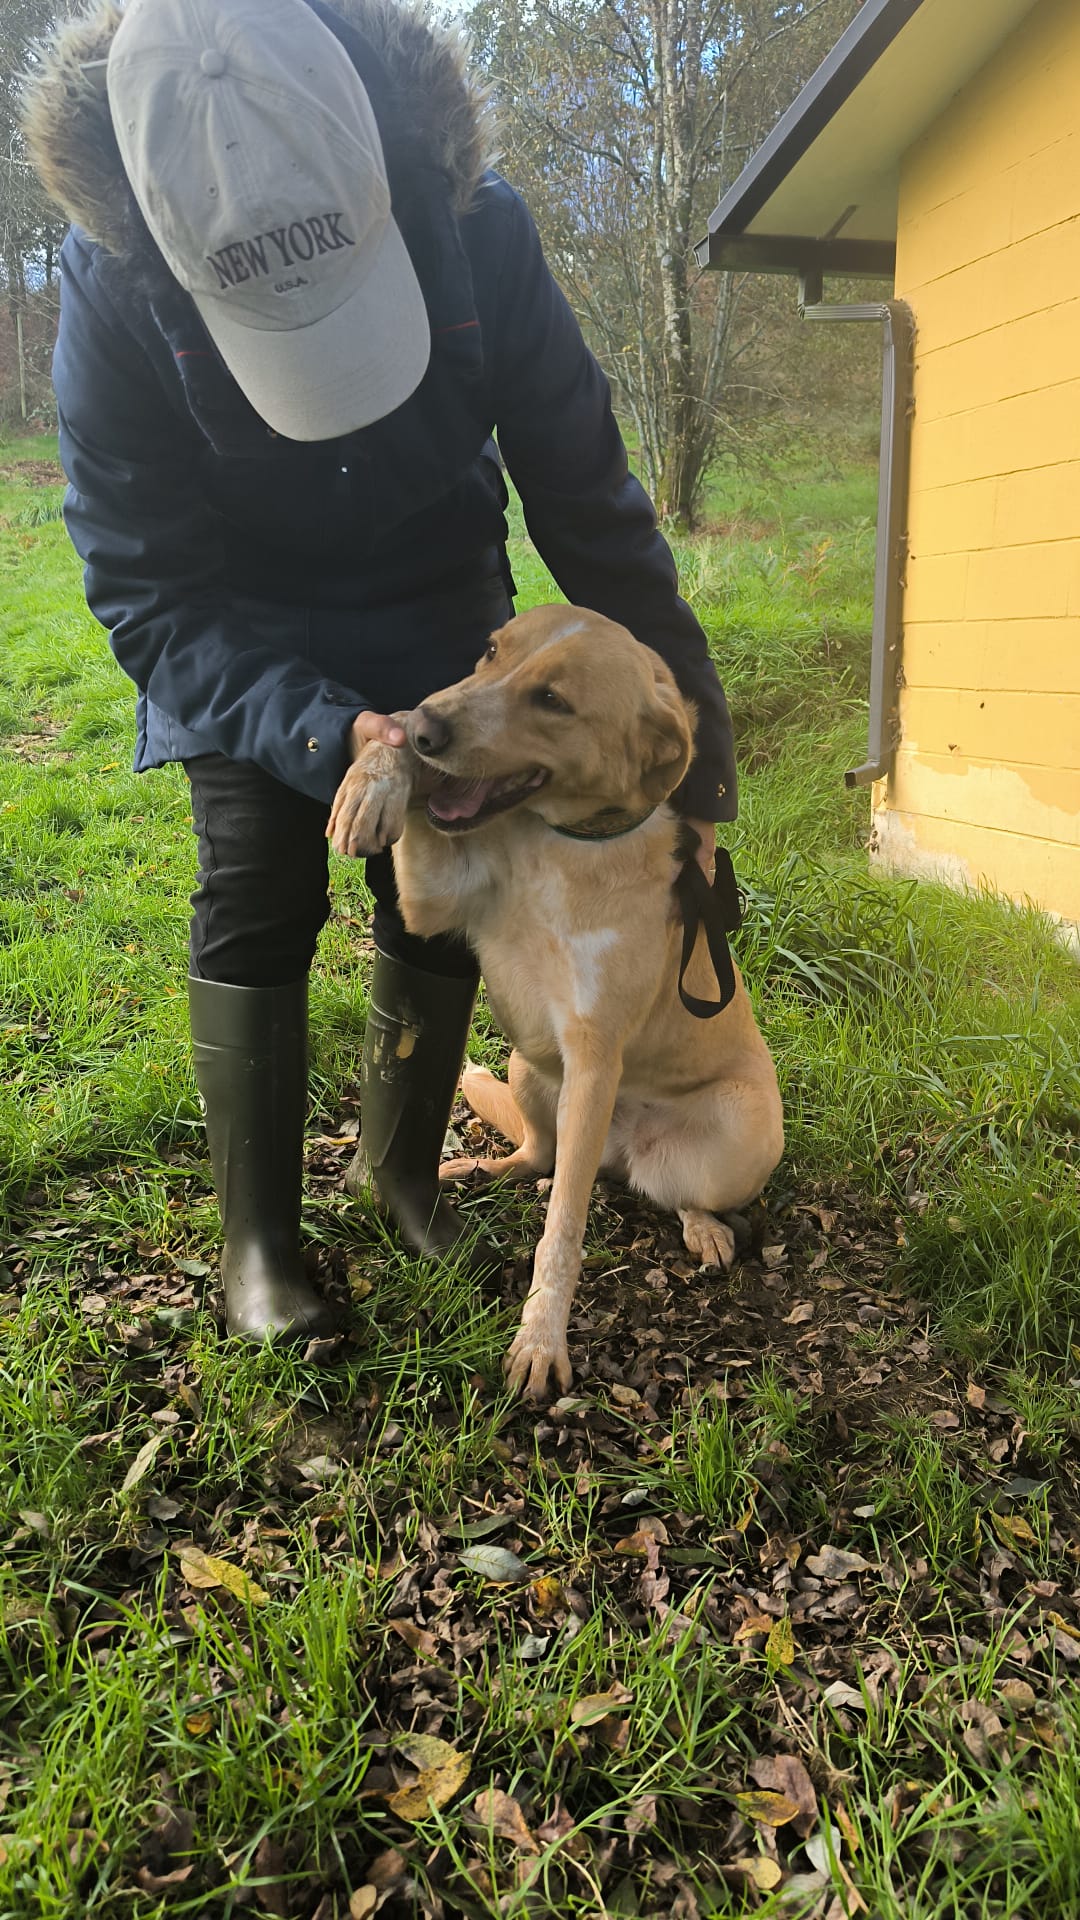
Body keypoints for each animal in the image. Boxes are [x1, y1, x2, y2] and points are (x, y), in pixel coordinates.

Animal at [329, 604, 784, 1401]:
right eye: (489, 653)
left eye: (552, 701)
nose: (427, 727)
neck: (560, 846)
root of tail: (618, 1151)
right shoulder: (428, 905)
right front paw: (377, 773)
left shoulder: (593, 1055)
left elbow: (561, 1231)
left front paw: (542, 1337)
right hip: (525, 1065)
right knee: (539, 1155)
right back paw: (473, 1171)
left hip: (737, 1126)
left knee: (668, 1188)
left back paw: (703, 1226)